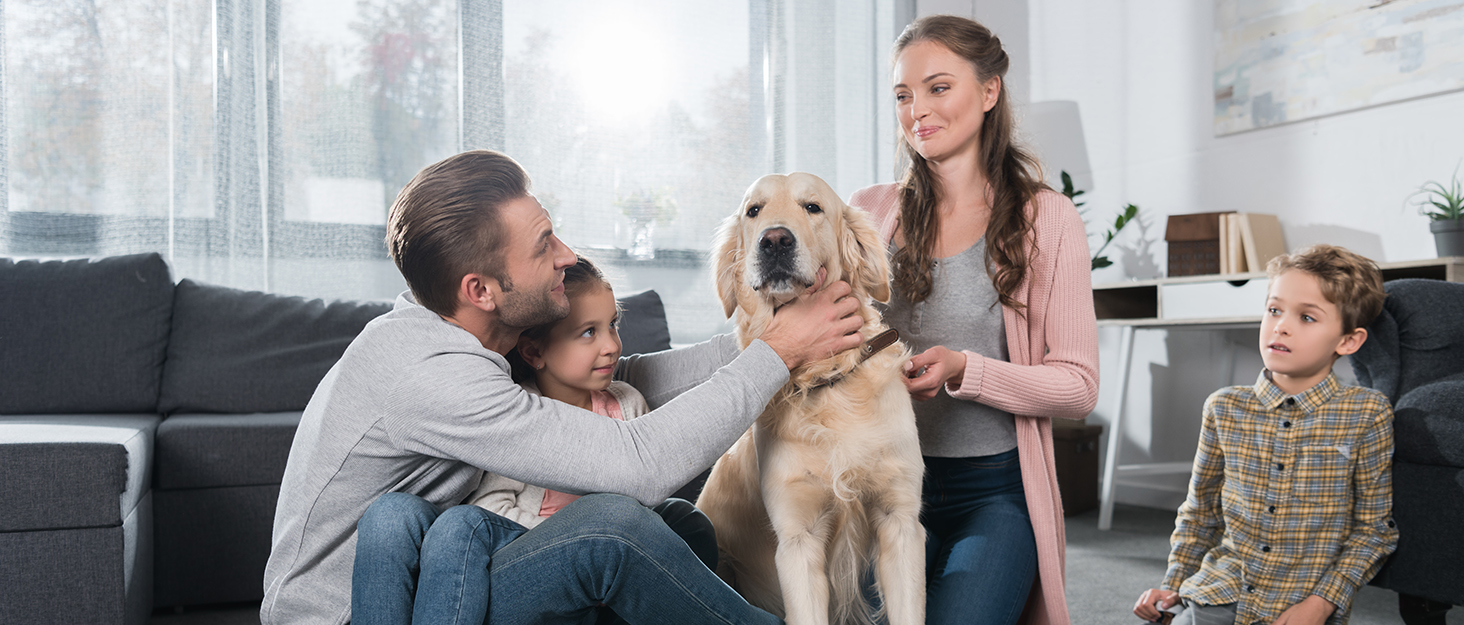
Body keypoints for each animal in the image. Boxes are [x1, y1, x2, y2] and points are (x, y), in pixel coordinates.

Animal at [696, 172, 925, 625]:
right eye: (754, 211)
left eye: (813, 207)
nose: (775, 241)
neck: (829, 383)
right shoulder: (798, 538)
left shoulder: (901, 520)